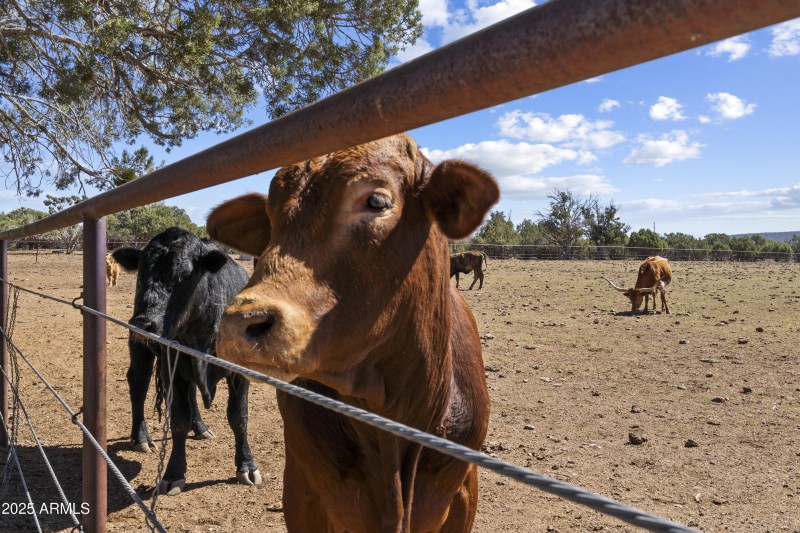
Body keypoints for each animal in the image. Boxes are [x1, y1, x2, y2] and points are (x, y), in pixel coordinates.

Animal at [112, 227, 262, 495]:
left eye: (184, 275)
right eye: (141, 271)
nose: (143, 324)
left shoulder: (239, 372)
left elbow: (238, 417)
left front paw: (246, 465)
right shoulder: (174, 366)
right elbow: (179, 419)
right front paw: (174, 473)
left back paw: (200, 427)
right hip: (142, 351)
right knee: (138, 384)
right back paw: (141, 438)